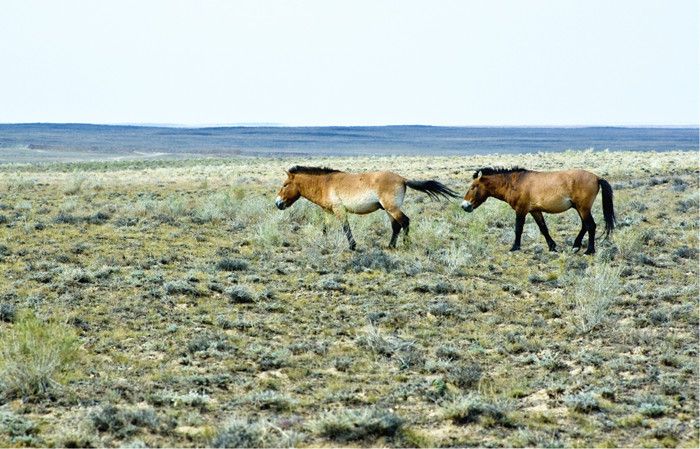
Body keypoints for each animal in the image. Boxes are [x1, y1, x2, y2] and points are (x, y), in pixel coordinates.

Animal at [274, 164, 460, 248]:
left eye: (284, 185)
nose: (277, 203)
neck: (326, 183)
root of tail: (403, 179)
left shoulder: (340, 210)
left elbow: (346, 227)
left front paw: (352, 246)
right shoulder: (328, 212)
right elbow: (325, 228)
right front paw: (324, 242)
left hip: (392, 208)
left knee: (405, 221)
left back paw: (406, 245)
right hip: (388, 210)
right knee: (396, 226)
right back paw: (390, 246)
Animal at [462, 166, 616, 254]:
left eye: (473, 187)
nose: (464, 206)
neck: (515, 183)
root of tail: (597, 178)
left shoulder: (521, 210)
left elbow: (518, 228)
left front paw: (515, 247)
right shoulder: (535, 211)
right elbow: (543, 228)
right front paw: (552, 247)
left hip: (583, 208)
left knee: (591, 225)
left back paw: (589, 250)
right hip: (580, 208)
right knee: (585, 225)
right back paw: (576, 246)